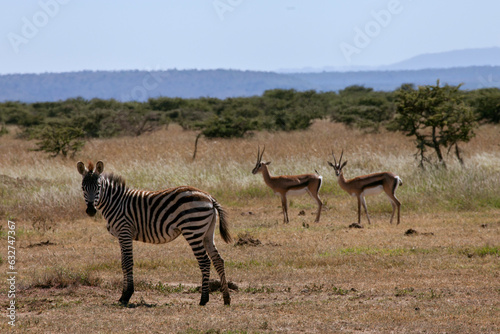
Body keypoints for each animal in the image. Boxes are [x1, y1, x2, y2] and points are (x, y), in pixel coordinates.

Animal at [77, 161, 233, 306]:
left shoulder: (125, 231)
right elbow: (122, 262)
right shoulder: (121, 235)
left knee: (205, 261)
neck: (116, 203)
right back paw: (226, 298)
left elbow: (127, 262)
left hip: (193, 230)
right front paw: (123, 296)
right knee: (218, 260)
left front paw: (127, 295)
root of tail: (209, 197)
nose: (90, 210)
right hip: (207, 233)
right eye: (83, 187)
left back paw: (203, 299)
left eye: (98, 187)